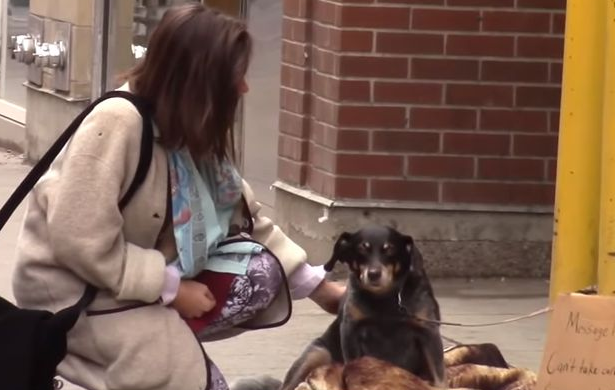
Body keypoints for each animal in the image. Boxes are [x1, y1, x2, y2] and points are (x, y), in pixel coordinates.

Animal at [280, 225, 448, 390]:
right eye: (361, 249)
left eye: (390, 249)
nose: (373, 274)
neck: (385, 299)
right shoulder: (351, 332)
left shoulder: (428, 332)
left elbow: (439, 377)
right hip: (316, 353)